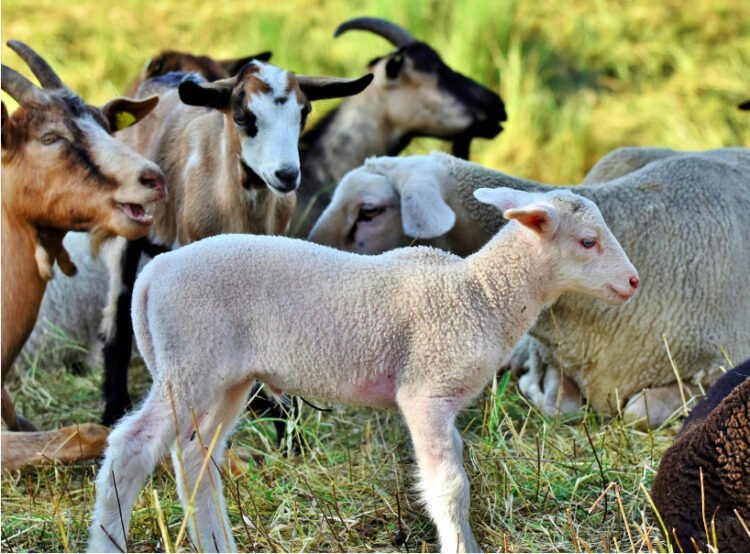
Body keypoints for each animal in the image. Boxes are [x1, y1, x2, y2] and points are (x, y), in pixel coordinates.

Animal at [87, 186, 638, 553]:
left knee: (195, 459)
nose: (633, 282)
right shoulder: (424, 391)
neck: (479, 294)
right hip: (191, 363)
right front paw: (460, 546)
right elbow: (449, 486)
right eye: (588, 241)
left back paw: (219, 545)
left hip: (226, 378)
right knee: (132, 445)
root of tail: (154, 274)